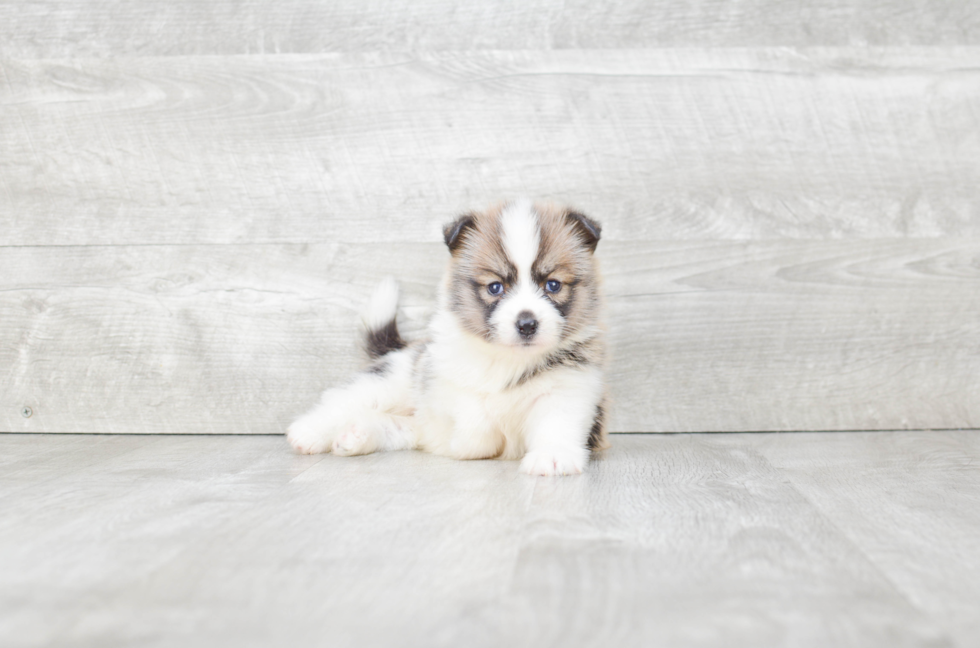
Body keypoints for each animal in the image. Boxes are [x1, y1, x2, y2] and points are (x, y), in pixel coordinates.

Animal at [284, 199, 608, 476]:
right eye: (495, 287)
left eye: (553, 285)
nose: (527, 324)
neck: (508, 358)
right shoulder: (443, 380)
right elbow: (474, 413)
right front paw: (473, 435)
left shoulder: (569, 389)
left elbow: (557, 423)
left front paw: (553, 456)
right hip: (391, 381)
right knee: (343, 401)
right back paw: (309, 432)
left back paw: (357, 434)